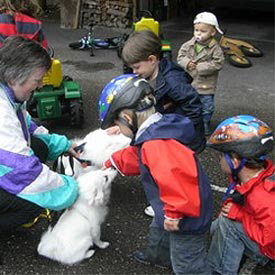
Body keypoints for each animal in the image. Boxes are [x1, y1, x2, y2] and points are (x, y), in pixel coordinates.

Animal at [37, 129, 130, 266]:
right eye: (121, 144)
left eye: (123, 135)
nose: (132, 140)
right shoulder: (95, 227)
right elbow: (98, 238)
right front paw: (103, 245)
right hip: (85, 241)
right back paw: (89, 252)